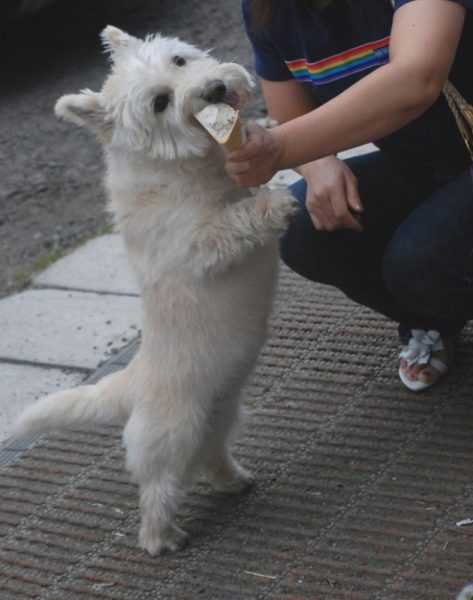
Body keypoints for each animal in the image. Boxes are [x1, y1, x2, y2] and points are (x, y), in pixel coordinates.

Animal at [9, 27, 296, 552]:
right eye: (160, 103)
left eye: (179, 60)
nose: (216, 89)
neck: (183, 168)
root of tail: (128, 385)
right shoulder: (197, 246)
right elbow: (234, 222)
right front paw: (277, 203)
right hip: (172, 433)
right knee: (158, 488)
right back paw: (161, 539)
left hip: (220, 414)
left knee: (210, 458)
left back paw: (234, 481)